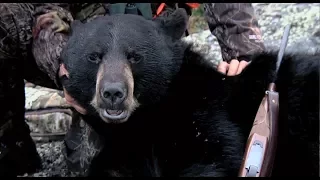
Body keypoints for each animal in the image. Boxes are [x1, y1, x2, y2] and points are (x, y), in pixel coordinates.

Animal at [59, 9, 318, 176]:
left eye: (135, 56)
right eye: (94, 56)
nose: (113, 92)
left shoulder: (205, 113)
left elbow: (215, 157)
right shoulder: (127, 146)